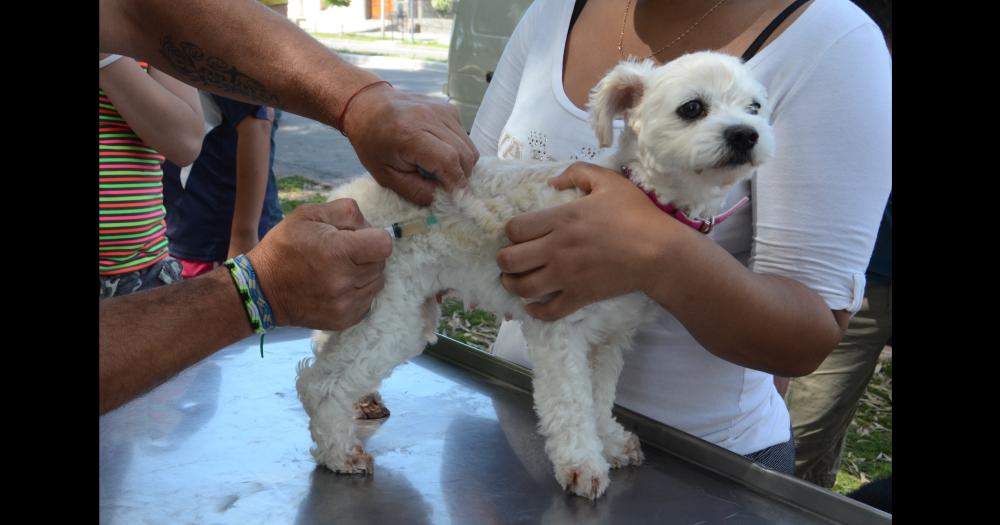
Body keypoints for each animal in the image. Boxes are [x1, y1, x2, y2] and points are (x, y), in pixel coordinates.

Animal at [294, 51, 772, 498]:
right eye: (692, 108)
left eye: (755, 107)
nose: (745, 134)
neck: (641, 200)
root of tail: (352, 194)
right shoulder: (560, 328)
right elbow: (571, 402)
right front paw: (583, 463)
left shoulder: (609, 338)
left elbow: (599, 396)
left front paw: (610, 441)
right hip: (393, 314)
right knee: (322, 384)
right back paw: (339, 451)